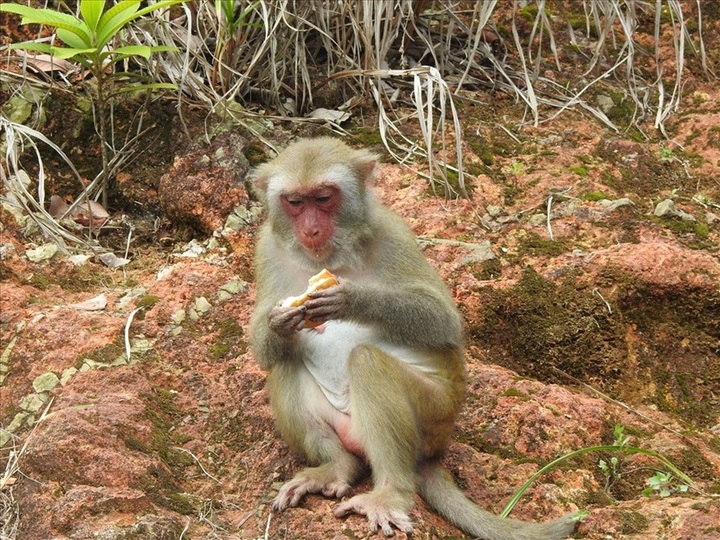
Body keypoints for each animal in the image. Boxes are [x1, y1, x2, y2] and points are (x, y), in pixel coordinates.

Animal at [248, 137, 578, 539]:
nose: (310, 230)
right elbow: (265, 350)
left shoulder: (393, 232)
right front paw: (279, 321)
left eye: (324, 197)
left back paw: (390, 491)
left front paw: (352, 298)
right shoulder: (266, 248)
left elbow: (442, 321)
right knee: (285, 363)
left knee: (368, 363)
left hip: (435, 416)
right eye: (295, 202)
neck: (333, 256)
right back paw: (337, 466)